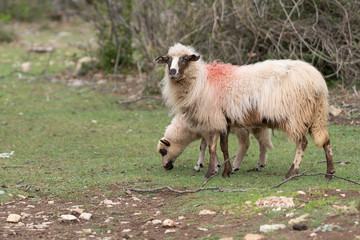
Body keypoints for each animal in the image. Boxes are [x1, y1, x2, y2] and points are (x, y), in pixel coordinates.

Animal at [156, 42, 336, 178]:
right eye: (168, 60)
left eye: (185, 59)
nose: (172, 72)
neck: (201, 82)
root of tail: (317, 81)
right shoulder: (224, 121)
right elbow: (224, 146)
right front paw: (226, 171)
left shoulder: (213, 119)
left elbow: (211, 147)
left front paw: (210, 172)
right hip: (316, 114)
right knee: (326, 140)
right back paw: (330, 172)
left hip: (295, 116)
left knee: (303, 143)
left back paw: (292, 172)